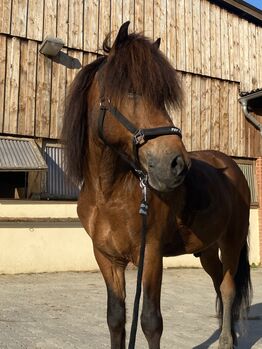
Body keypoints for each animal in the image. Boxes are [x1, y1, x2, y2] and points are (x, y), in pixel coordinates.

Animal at [61, 21, 252, 348]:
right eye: (131, 90)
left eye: (162, 97)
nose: (177, 164)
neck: (110, 194)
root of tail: (233, 169)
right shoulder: (106, 258)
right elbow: (116, 319)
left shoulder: (150, 254)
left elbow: (151, 322)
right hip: (207, 249)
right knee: (217, 283)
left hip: (231, 242)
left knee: (228, 289)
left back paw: (227, 340)